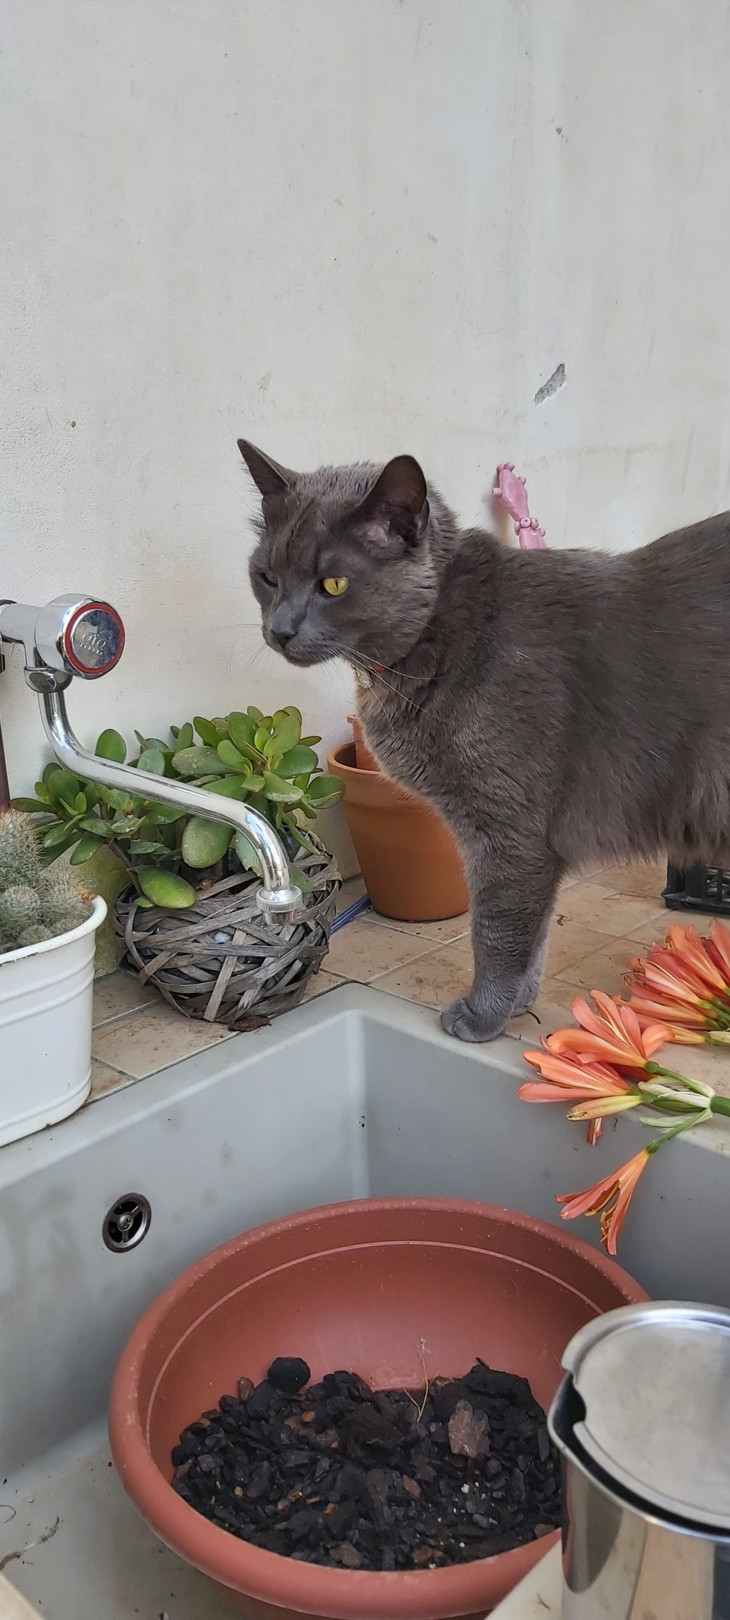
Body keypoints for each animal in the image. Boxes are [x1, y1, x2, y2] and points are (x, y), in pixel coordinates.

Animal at [242, 437, 730, 1043]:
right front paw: (517, 1004)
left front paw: (481, 1015)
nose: (279, 630)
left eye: (333, 583)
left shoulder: (508, 831)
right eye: (266, 576)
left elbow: (496, 931)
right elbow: (534, 931)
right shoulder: (529, 845)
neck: (437, 636)